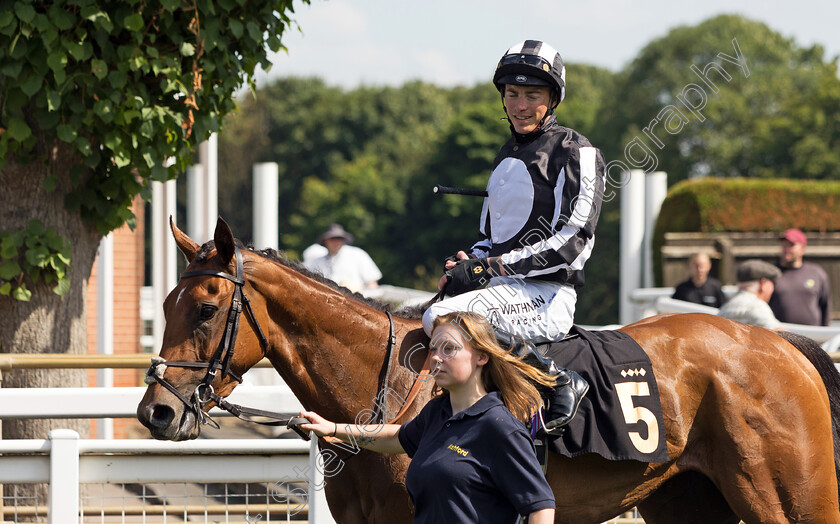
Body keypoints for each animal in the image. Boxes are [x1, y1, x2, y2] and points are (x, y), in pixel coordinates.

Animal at [138, 217, 840, 524]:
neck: (385, 384)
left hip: (793, 501)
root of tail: (781, 345)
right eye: (166, 304)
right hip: (687, 501)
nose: (156, 411)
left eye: (206, 308)